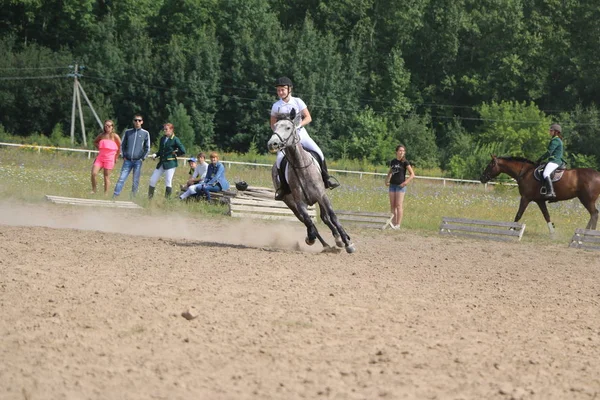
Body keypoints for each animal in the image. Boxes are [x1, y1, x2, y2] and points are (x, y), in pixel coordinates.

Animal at [264, 109, 354, 253]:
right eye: (275, 126)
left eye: (288, 127)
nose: (272, 144)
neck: (300, 166)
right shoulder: (299, 203)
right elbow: (309, 221)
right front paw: (310, 238)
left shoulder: (322, 196)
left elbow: (333, 217)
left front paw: (347, 242)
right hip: (291, 204)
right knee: (307, 221)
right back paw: (325, 244)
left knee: (325, 218)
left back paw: (338, 239)